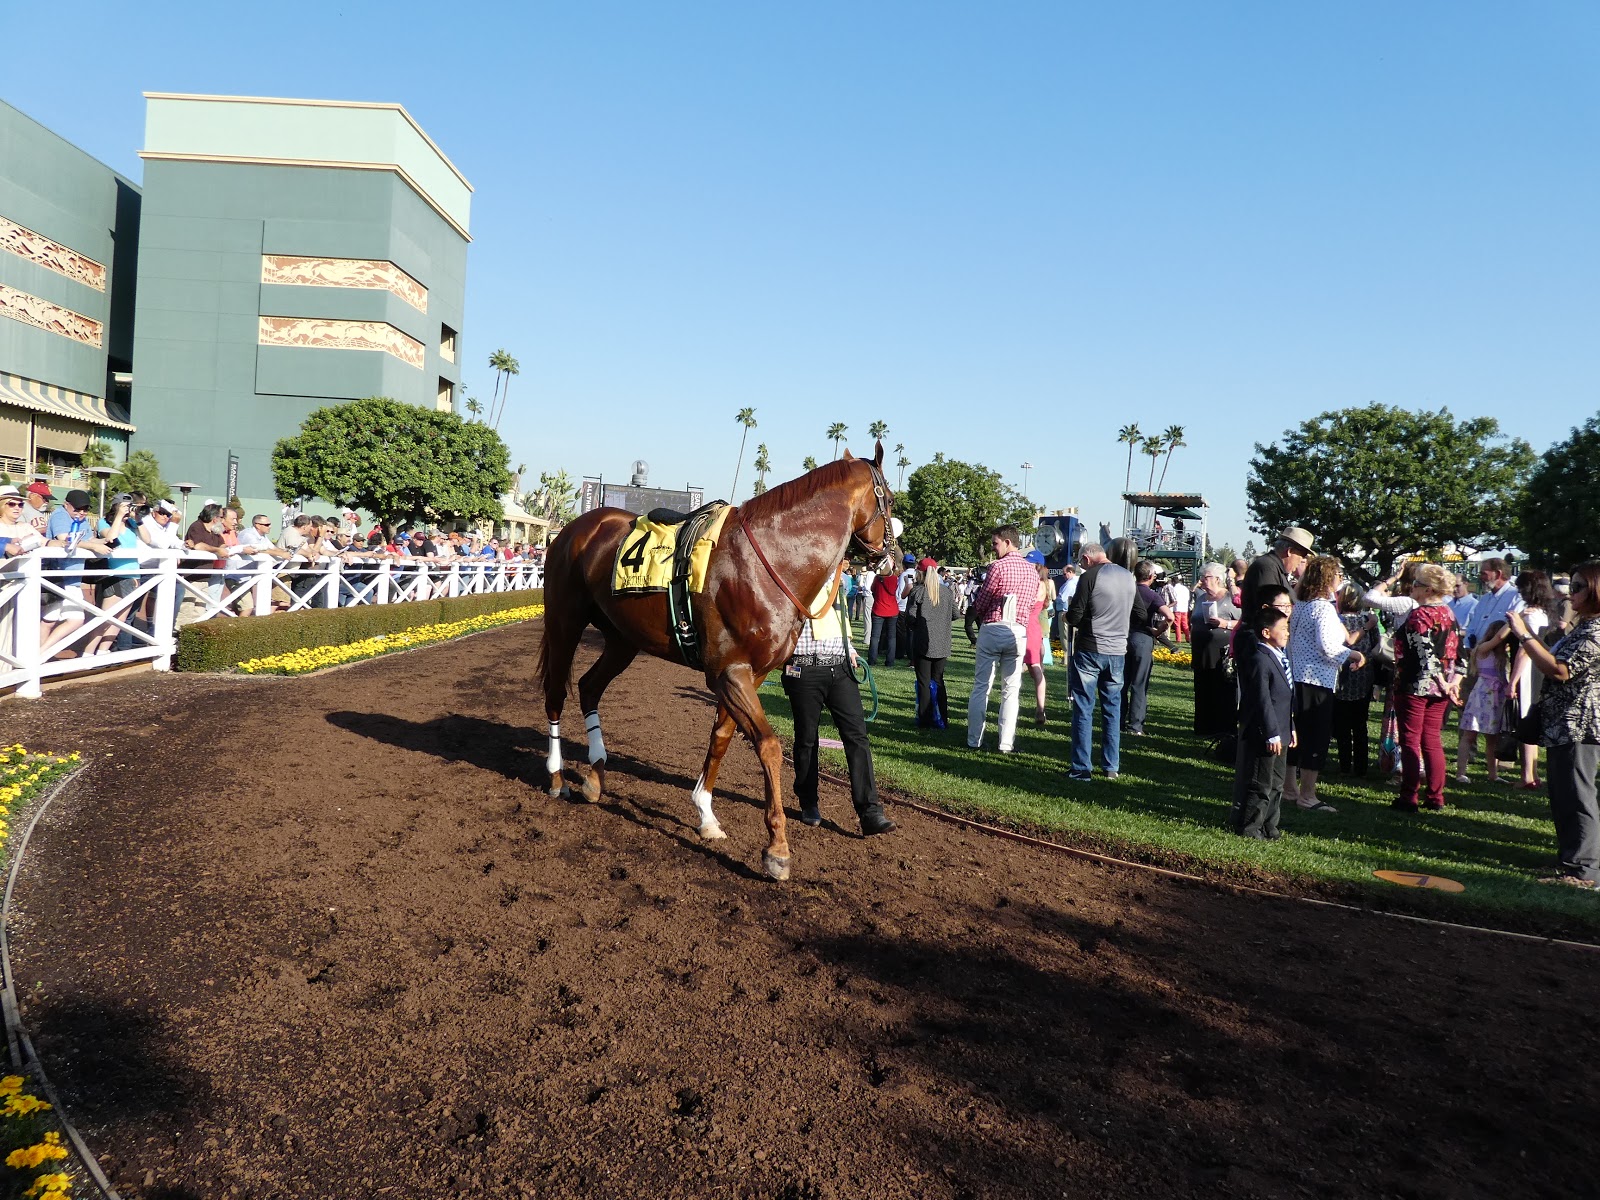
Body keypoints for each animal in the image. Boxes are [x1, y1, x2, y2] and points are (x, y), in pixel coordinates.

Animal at [535, 443, 900, 881]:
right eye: (891, 501)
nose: (896, 560)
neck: (770, 559)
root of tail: (575, 527)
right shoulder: (729, 673)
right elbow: (769, 746)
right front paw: (777, 848)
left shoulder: (751, 675)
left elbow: (722, 737)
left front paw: (706, 815)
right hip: (564, 623)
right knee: (556, 694)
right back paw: (557, 777)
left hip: (622, 639)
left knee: (589, 687)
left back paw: (594, 776)